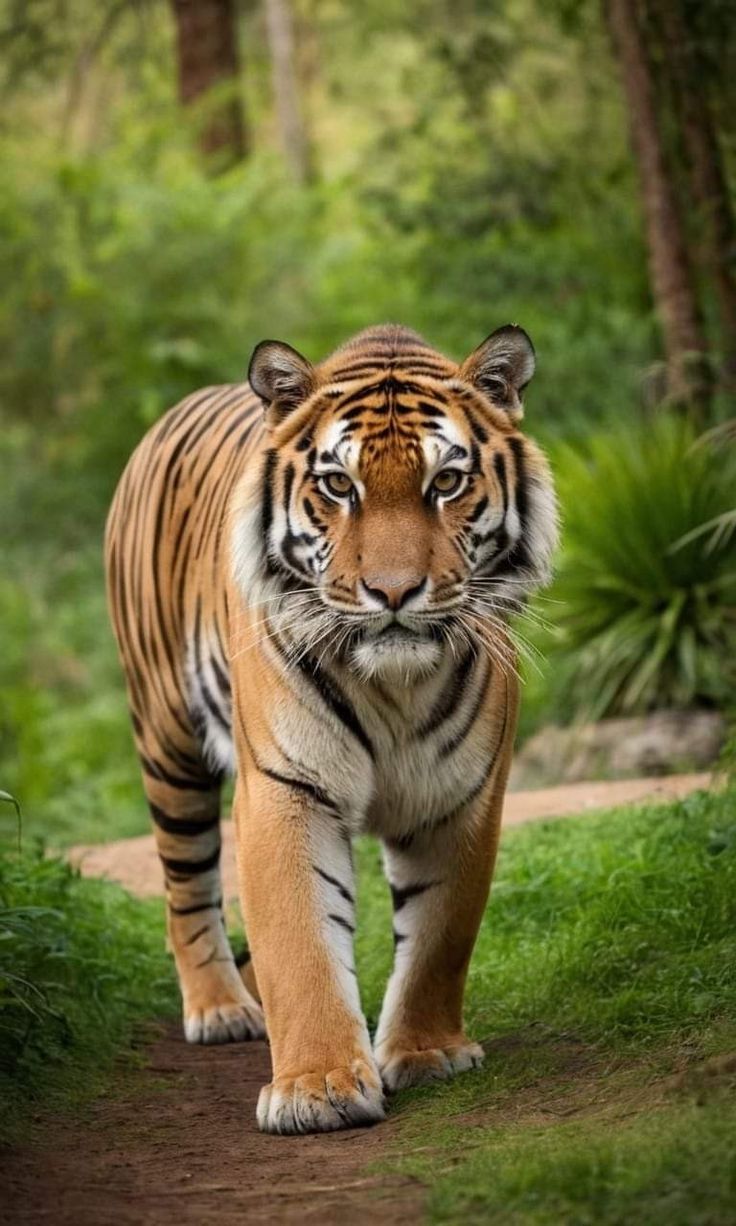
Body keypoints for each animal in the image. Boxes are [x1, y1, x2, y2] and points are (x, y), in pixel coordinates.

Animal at [104, 321, 556, 1132]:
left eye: (446, 482)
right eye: (339, 486)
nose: (393, 592)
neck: (394, 685)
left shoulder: (462, 796)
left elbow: (442, 933)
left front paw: (426, 1052)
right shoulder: (286, 789)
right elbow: (300, 943)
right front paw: (316, 1088)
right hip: (167, 742)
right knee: (185, 885)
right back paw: (220, 1008)